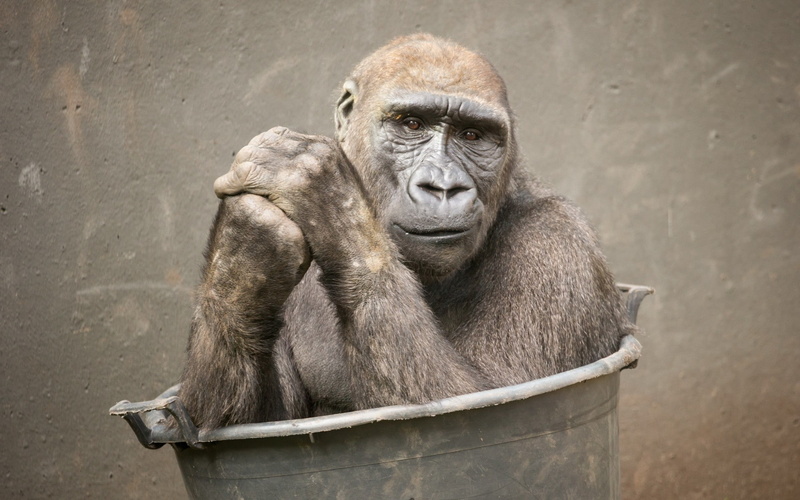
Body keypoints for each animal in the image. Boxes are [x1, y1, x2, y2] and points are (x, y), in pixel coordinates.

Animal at [178, 34, 636, 430]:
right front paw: (242, 255)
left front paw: (331, 200)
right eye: (412, 124)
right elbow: (248, 422)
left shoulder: (558, 247)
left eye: (473, 135)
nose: (444, 186)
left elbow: (485, 398)